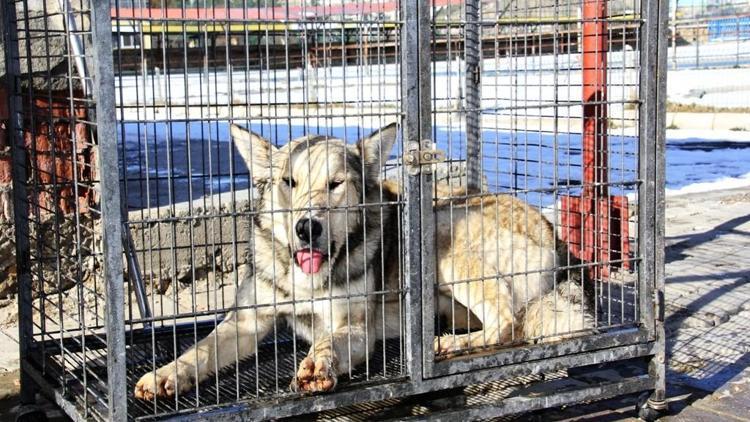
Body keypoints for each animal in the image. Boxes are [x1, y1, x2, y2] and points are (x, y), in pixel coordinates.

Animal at [135, 122, 592, 398]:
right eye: (289, 182)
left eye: (336, 184)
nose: (306, 227)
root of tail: (550, 230)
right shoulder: (247, 321)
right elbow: (199, 351)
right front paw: (165, 375)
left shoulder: (355, 329)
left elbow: (328, 341)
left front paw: (318, 363)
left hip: (442, 236)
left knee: (508, 324)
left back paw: (450, 345)